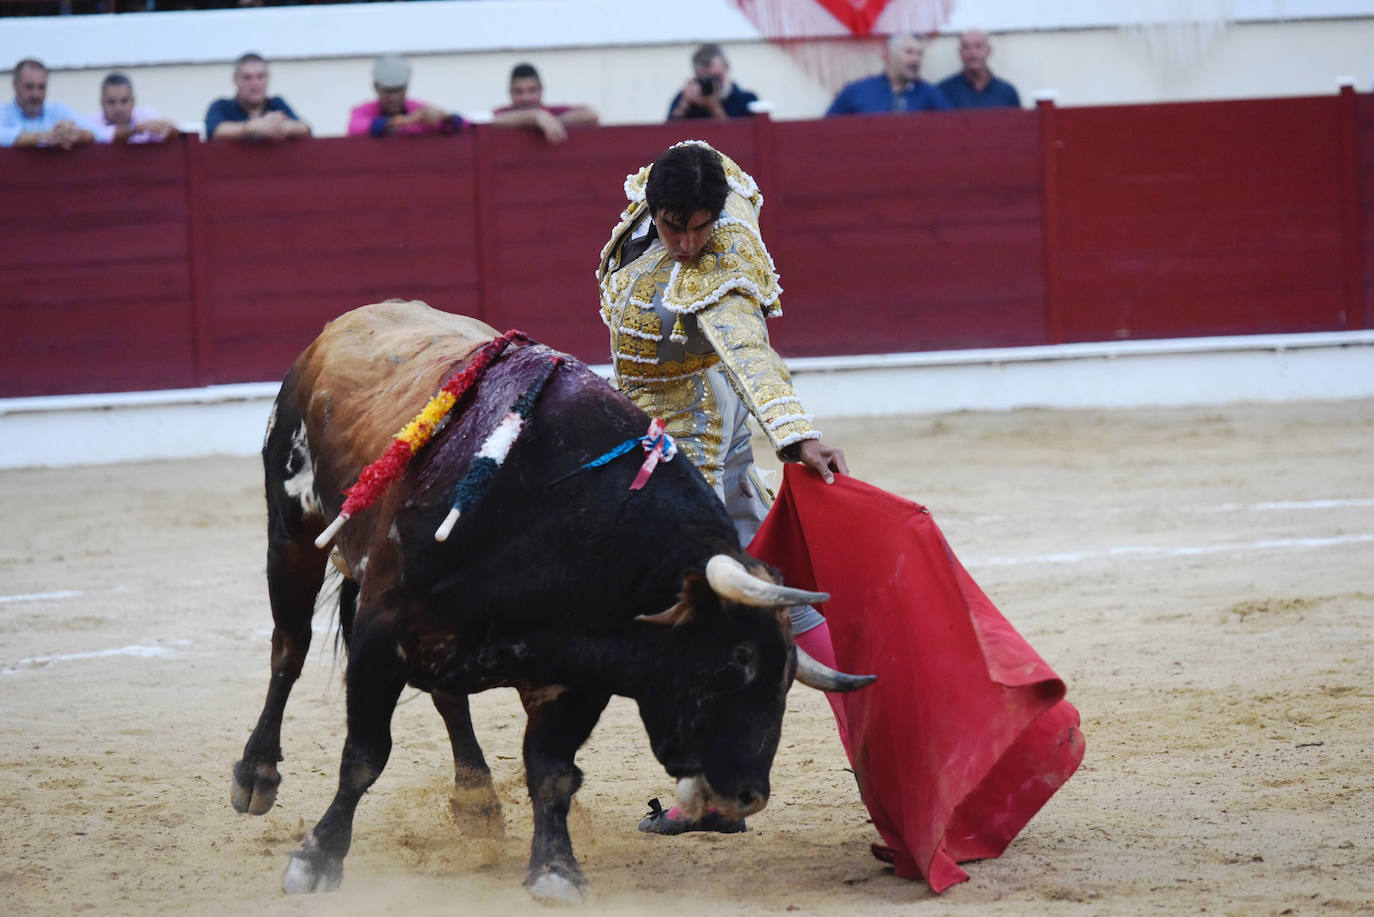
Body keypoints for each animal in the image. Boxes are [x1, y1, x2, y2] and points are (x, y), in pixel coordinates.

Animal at [225, 305, 868, 907]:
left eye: (785, 681)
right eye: (732, 665)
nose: (748, 795)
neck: (556, 517)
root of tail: (340, 327)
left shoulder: (575, 674)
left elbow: (552, 772)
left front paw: (556, 870)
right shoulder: (382, 631)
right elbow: (364, 753)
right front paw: (317, 860)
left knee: (446, 695)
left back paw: (477, 801)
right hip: (293, 531)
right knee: (290, 648)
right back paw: (256, 775)